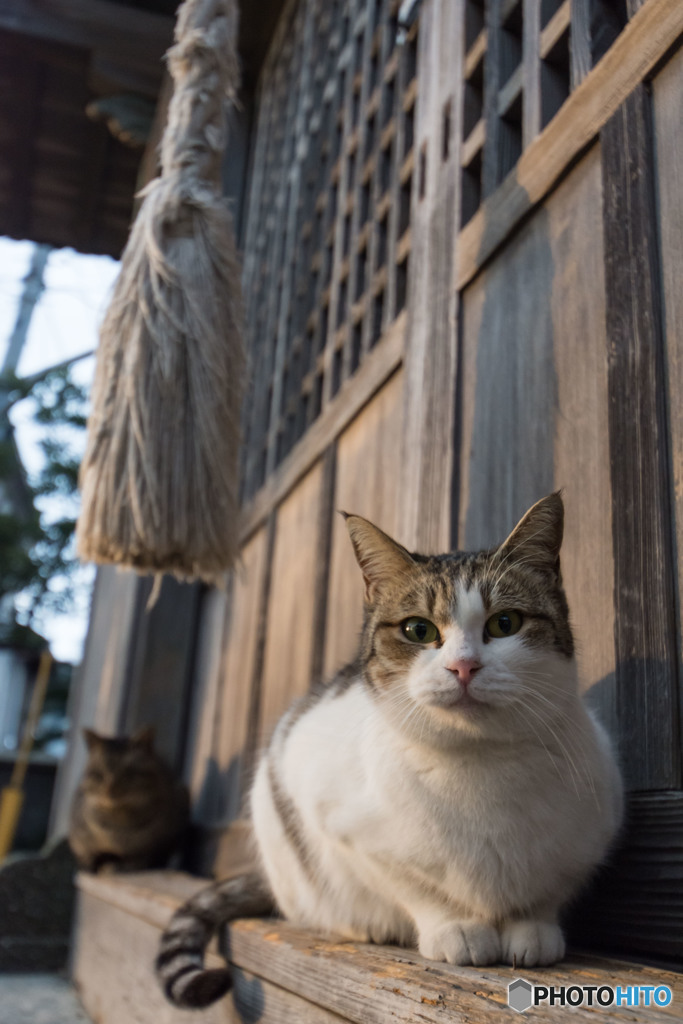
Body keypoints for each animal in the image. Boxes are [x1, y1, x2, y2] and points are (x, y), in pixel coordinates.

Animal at [69, 729, 188, 872]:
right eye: (99, 775)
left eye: (128, 774)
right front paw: (90, 865)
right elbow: (86, 856)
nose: (110, 790)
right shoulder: (78, 838)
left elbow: (141, 859)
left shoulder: (160, 843)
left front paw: (122, 866)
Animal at [156, 493, 626, 1007]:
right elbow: (417, 887)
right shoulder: (339, 823)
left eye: (505, 623)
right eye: (418, 630)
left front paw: (532, 928)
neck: (479, 762)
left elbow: (544, 892)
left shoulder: (591, 829)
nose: (464, 666)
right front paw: (456, 928)